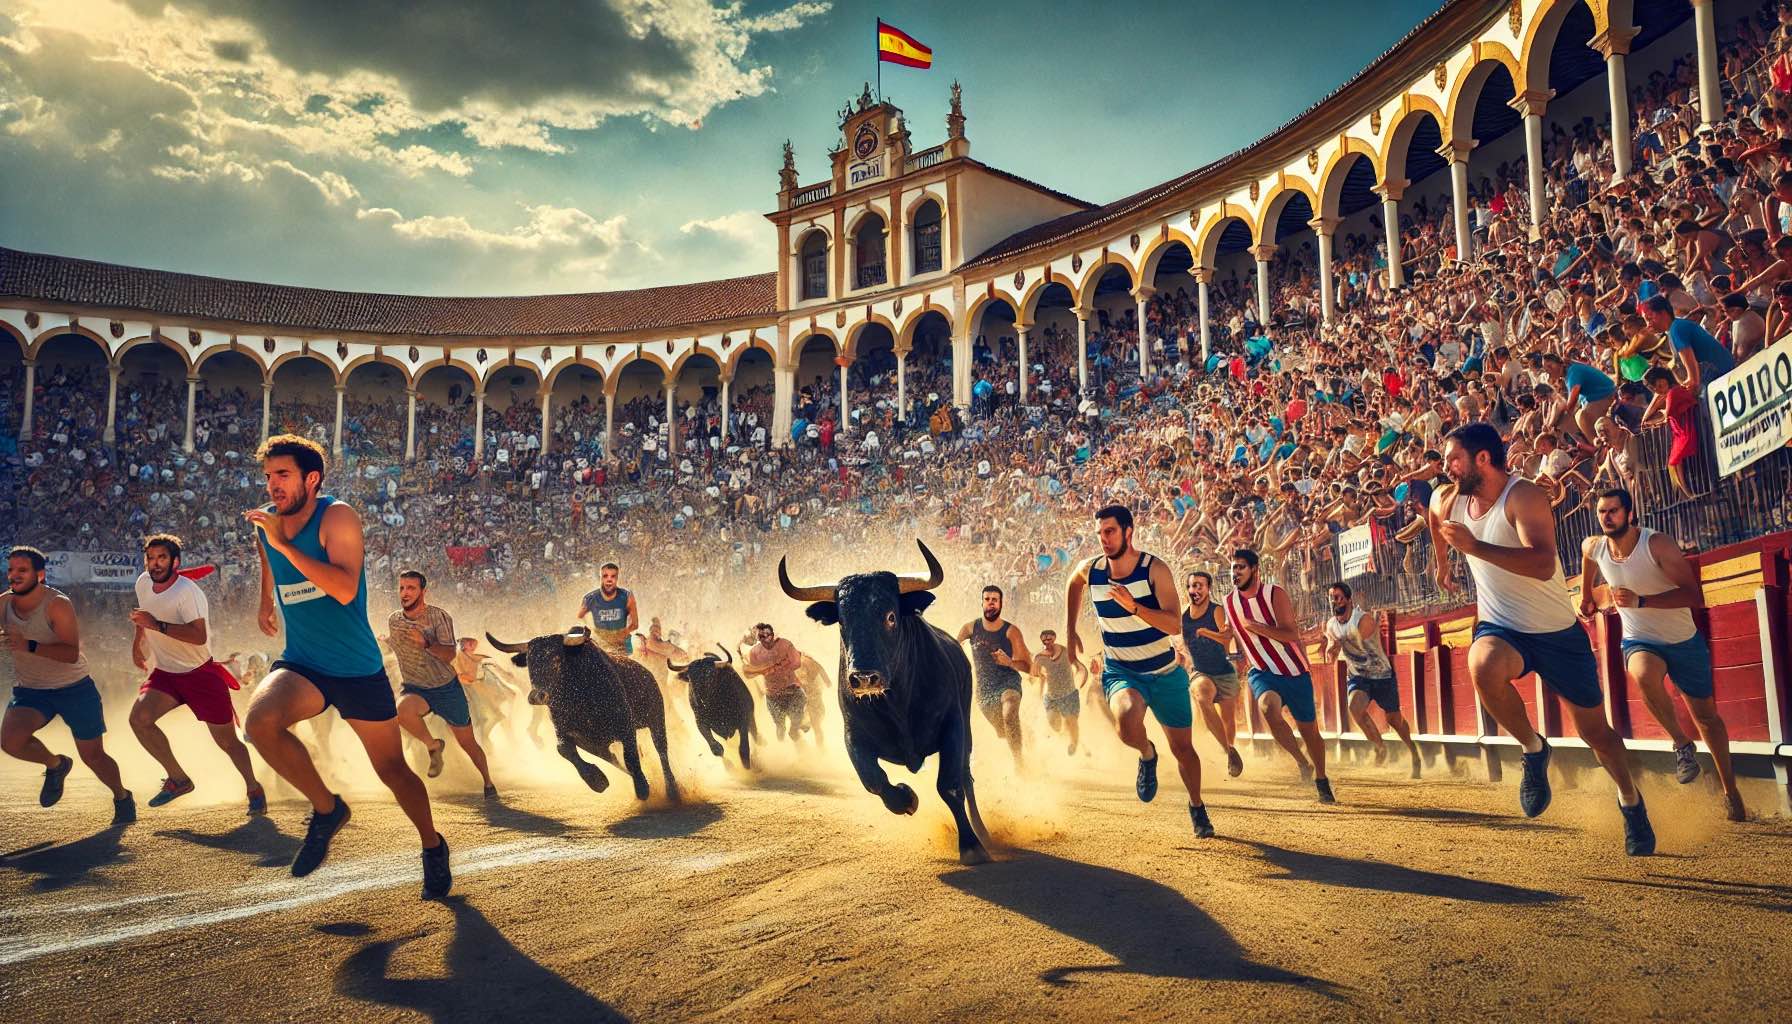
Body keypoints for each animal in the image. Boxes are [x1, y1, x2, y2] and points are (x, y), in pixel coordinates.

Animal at [483, 620, 677, 807]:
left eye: (556, 658)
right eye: (530, 661)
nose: (537, 696)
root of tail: (647, 673)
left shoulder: (625, 725)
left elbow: (630, 757)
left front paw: (642, 788)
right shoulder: (568, 732)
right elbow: (564, 749)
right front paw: (597, 780)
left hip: (656, 719)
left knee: (662, 751)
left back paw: (672, 790)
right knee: (612, 756)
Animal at [777, 538, 989, 864]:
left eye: (890, 616)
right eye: (843, 623)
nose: (865, 678)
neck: (898, 703)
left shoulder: (953, 727)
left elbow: (951, 786)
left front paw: (971, 845)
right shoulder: (853, 735)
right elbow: (873, 779)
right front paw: (906, 798)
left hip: (967, 727)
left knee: (966, 778)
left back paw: (982, 832)